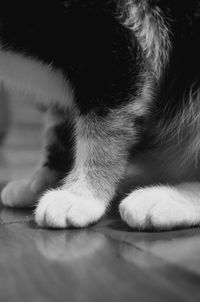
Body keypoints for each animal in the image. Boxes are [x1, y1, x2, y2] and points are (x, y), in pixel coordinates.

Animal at [1, 0, 200, 231]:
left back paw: (162, 200)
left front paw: (81, 196)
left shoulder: (113, 50)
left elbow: (102, 133)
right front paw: (40, 184)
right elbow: (59, 131)